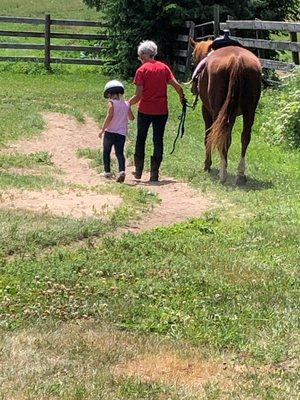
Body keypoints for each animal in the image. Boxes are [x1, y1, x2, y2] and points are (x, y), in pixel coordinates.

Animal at [192, 39, 260, 184]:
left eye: (193, 57)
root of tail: (237, 60)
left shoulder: (206, 111)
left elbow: (208, 135)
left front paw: (207, 164)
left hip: (219, 113)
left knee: (222, 137)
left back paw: (222, 174)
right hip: (249, 112)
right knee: (244, 138)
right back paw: (240, 174)